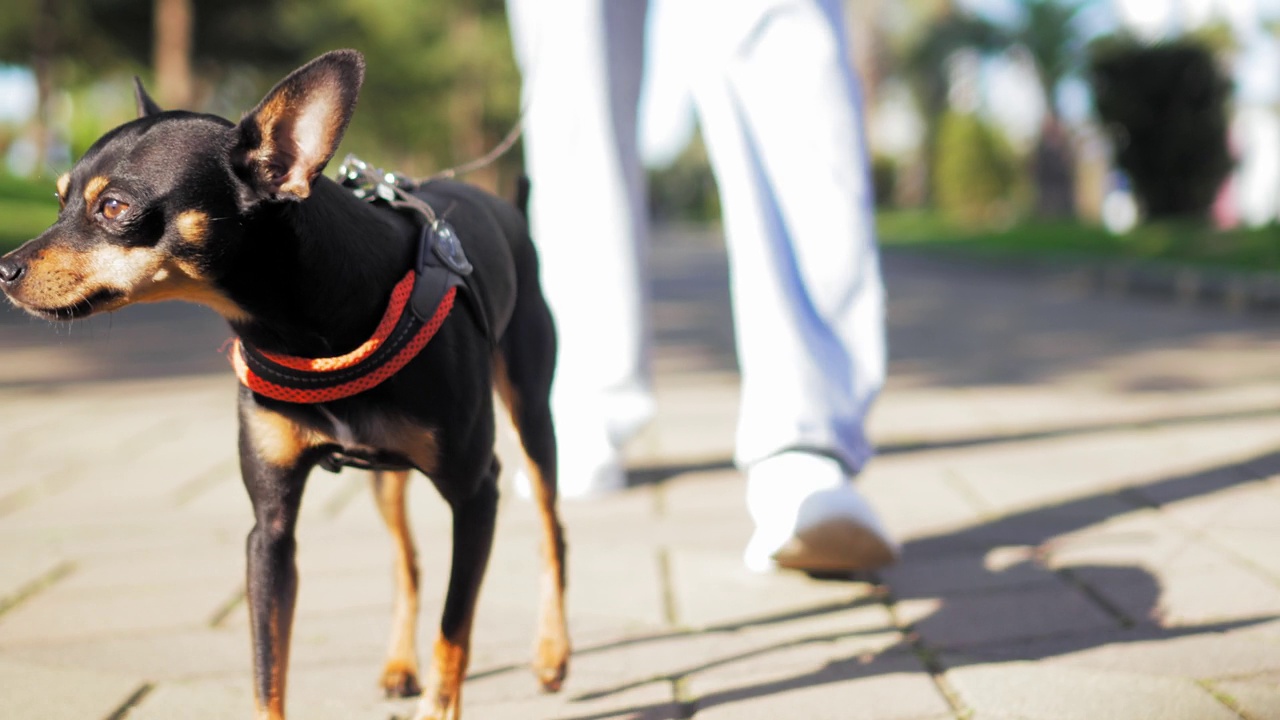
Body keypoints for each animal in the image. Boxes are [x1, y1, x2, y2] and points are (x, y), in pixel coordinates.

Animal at [0, 50, 570, 717]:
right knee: (407, 562)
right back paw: (400, 664)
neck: (306, 330)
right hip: (388, 479)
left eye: (113, 207)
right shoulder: (269, 530)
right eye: (59, 199)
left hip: (532, 419)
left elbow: (454, 634)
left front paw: (441, 700)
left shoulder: (476, 493)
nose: (4, 268)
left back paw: (552, 654)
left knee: (551, 533)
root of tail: (506, 207)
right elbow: (267, 667)